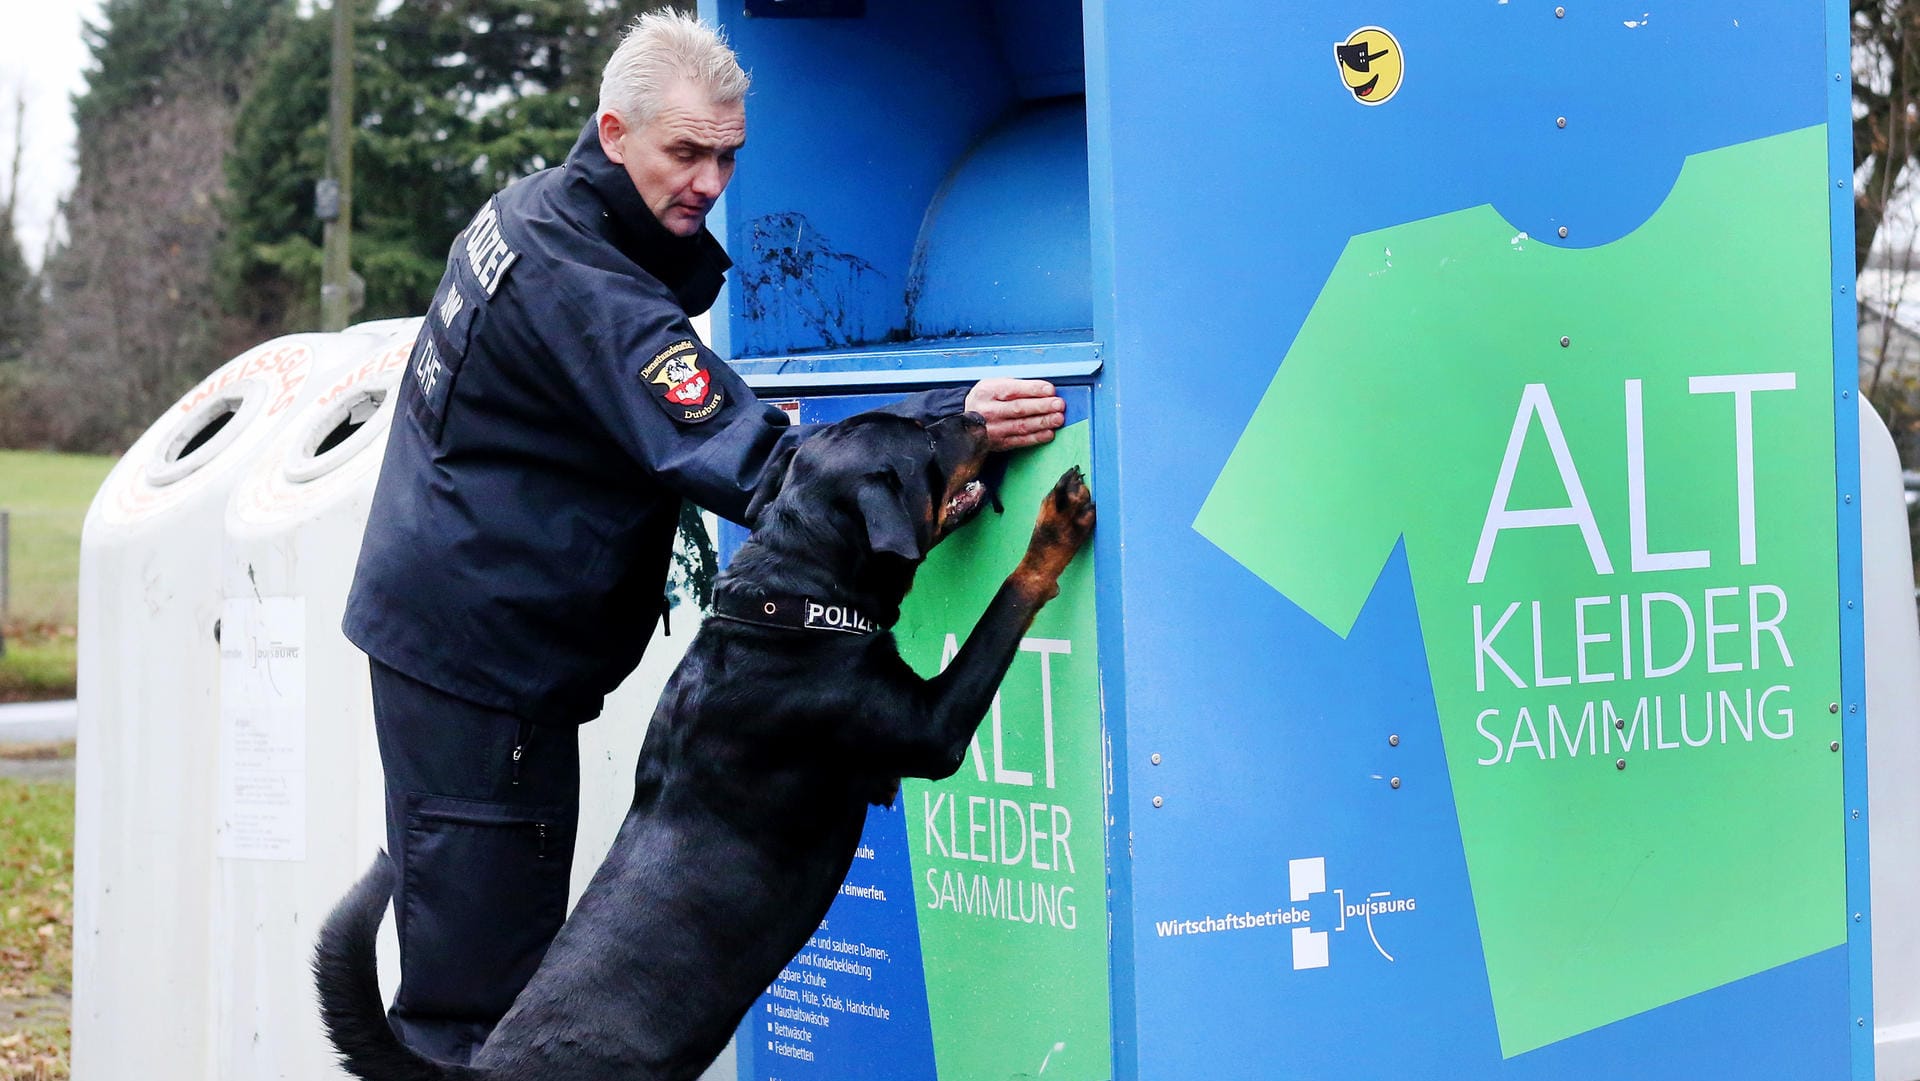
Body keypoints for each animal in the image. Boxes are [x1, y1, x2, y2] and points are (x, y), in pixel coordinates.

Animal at [314, 408, 1098, 1081]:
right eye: (926, 439)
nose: (978, 415)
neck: (791, 605)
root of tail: (484, 1071)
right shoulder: (931, 728)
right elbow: (1006, 607)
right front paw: (1053, 527)